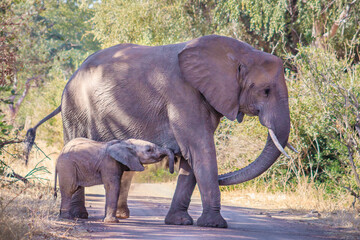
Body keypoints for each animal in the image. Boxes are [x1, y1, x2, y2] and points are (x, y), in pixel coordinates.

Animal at [25, 34, 292, 228]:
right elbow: (200, 149)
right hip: (75, 107)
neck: (237, 52)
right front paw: (215, 226)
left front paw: (180, 222)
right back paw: (78, 217)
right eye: (266, 91)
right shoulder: (182, 94)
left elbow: (192, 155)